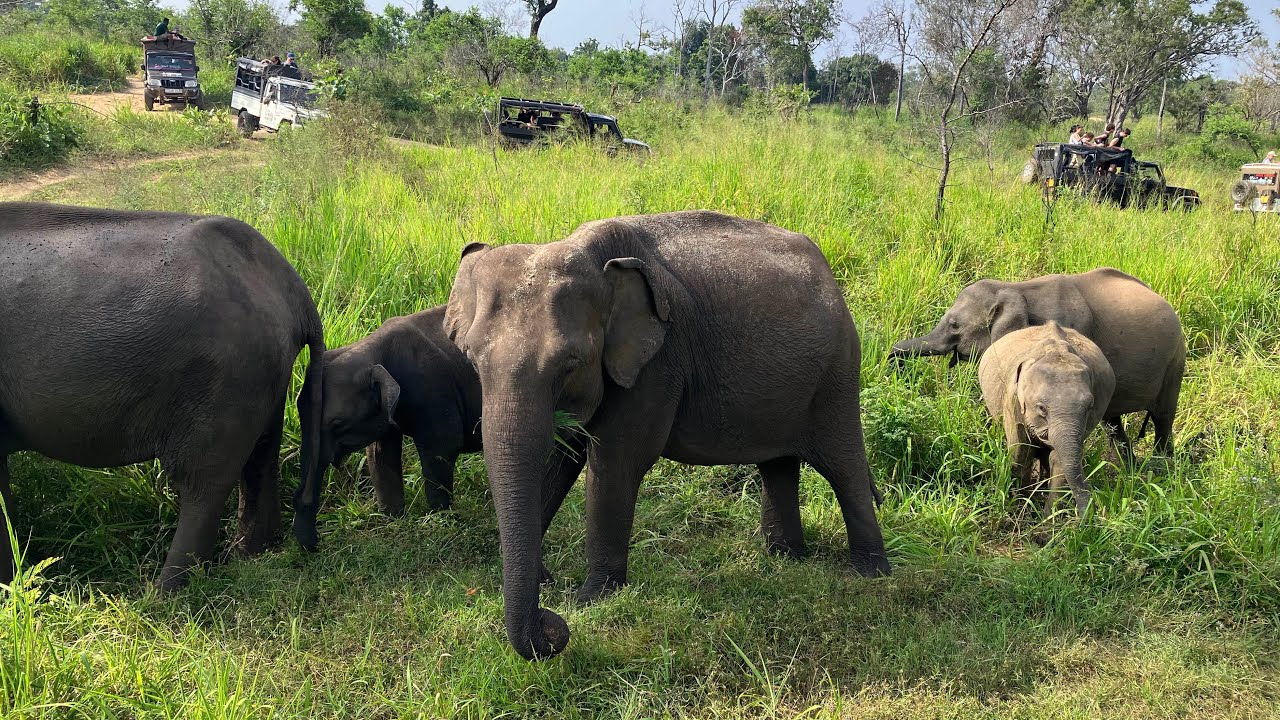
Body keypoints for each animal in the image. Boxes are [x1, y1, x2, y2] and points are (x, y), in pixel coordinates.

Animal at [0, 202, 324, 590]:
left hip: (226, 379)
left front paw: (7, 585)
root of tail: (290, 286)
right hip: (264, 372)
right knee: (261, 455)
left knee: (202, 482)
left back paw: (164, 593)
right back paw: (252, 556)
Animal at [314, 306, 482, 515]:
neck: (371, 347)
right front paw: (391, 516)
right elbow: (380, 453)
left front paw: (440, 515)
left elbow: (443, 447)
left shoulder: (434, 389)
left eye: (338, 423)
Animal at [440, 209, 889, 661]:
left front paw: (591, 600)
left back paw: (871, 575)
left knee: (843, 467)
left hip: (837, 374)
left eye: (569, 363)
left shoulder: (657, 362)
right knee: (778, 465)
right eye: (472, 361)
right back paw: (785, 560)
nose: (554, 626)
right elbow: (560, 457)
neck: (585, 253)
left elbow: (615, 463)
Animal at [890, 268, 1184, 457]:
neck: (1014, 287)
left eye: (954, 325)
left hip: (1174, 362)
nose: (897, 369)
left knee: (1163, 418)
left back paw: (1158, 469)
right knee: (1113, 423)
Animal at [978, 323, 1115, 516]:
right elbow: (1021, 451)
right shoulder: (1012, 399)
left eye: (1089, 407)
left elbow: (1058, 460)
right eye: (1042, 408)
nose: (1089, 514)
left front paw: (1048, 516)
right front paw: (1023, 504)